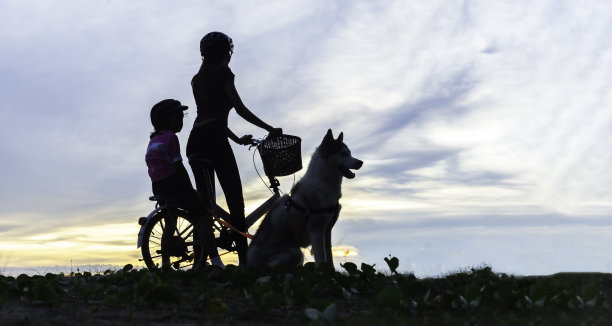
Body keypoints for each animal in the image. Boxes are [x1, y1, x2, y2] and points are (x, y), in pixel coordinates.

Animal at [247, 130, 364, 270]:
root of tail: (247, 262)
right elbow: (321, 259)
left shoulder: (326, 231)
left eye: (350, 153)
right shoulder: (316, 230)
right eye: (343, 153)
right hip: (295, 253)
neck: (323, 183)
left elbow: (329, 259)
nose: (360, 162)